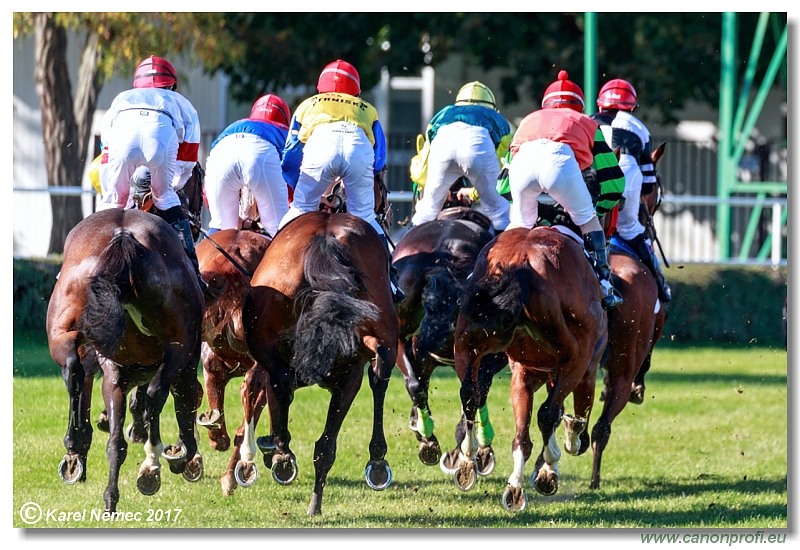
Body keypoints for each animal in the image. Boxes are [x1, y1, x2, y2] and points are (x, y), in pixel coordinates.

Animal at [47, 209, 205, 516]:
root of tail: (122, 234)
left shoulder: (116, 372)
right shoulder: (184, 360)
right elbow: (180, 399)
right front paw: (177, 456)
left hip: (61, 332)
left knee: (73, 371)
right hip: (178, 350)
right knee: (156, 395)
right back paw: (156, 463)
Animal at [450, 226, 608, 512]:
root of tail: (522, 262)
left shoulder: (524, 374)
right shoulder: (585, 369)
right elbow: (563, 415)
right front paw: (564, 450)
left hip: (468, 341)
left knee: (470, 394)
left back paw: (471, 463)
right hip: (575, 356)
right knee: (548, 412)